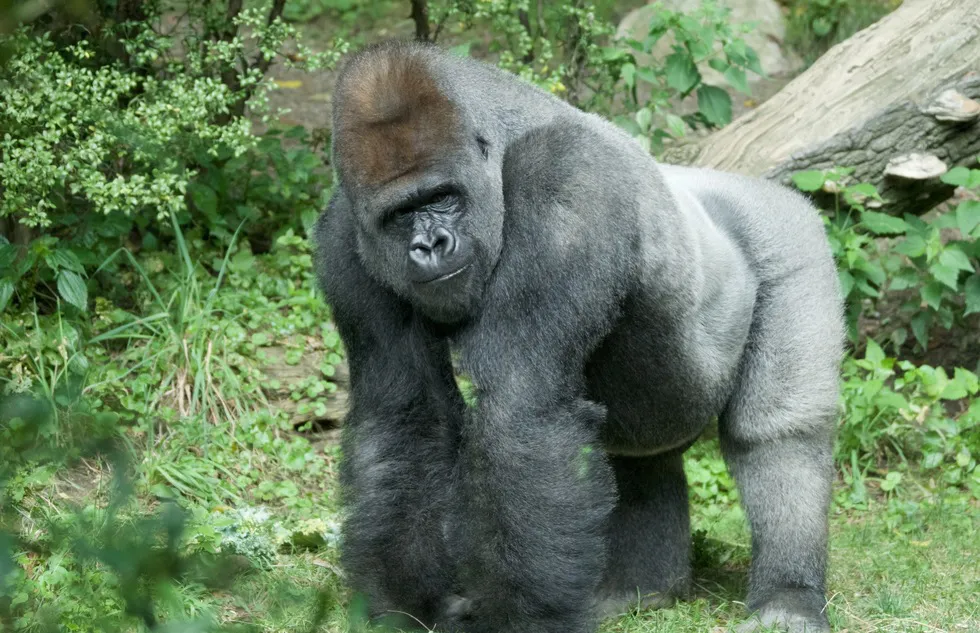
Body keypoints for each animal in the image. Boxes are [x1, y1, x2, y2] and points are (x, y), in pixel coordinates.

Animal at [314, 40, 844, 632]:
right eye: (400, 214)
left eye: (442, 196)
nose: (430, 245)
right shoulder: (345, 237)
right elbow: (407, 415)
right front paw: (409, 605)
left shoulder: (565, 179)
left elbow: (521, 408)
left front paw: (522, 618)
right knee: (642, 451)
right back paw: (643, 588)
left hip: (790, 234)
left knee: (778, 432)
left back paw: (787, 598)